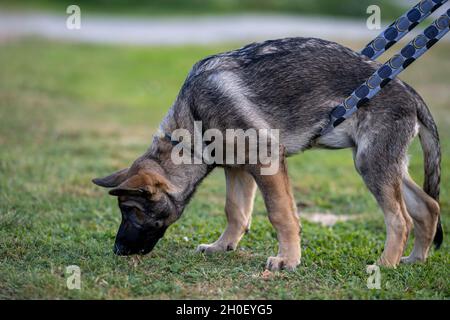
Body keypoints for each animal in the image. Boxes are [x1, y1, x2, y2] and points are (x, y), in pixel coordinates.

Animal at [93, 38, 442, 272]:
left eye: (132, 211)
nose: (118, 250)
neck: (191, 129)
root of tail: (410, 91)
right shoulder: (237, 168)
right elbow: (235, 211)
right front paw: (223, 246)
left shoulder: (267, 162)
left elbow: (280, 214)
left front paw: (287, 260)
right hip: (385, 164)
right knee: (428, 206)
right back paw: (414, 259)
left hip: (370, 164)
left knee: (400, 219)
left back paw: (384, 265)